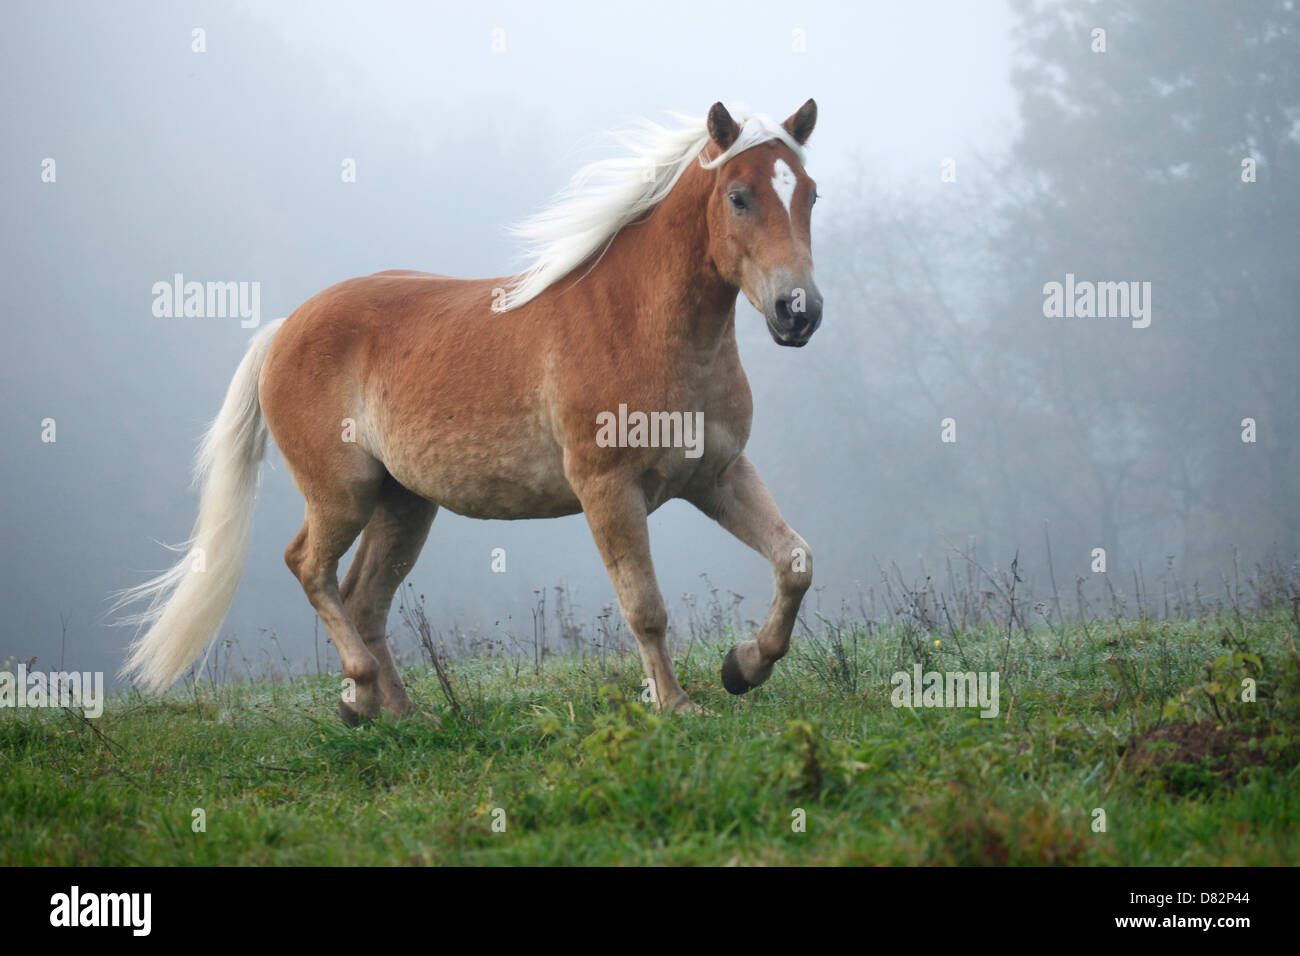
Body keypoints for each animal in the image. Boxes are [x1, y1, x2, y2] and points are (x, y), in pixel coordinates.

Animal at [115, 99, 823, 722]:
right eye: (738, 196)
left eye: (810, 194)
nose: (799, 312)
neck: (642, 324)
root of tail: (285, 328)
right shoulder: (608, 488)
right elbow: (645, 606)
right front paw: (677, 705)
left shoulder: (716, 475)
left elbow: (794, 562)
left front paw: (743, 667)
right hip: (343, 492)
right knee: (309, 567)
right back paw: (360, 696)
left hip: (404, 503)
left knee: (363, 598)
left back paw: (403, 717)